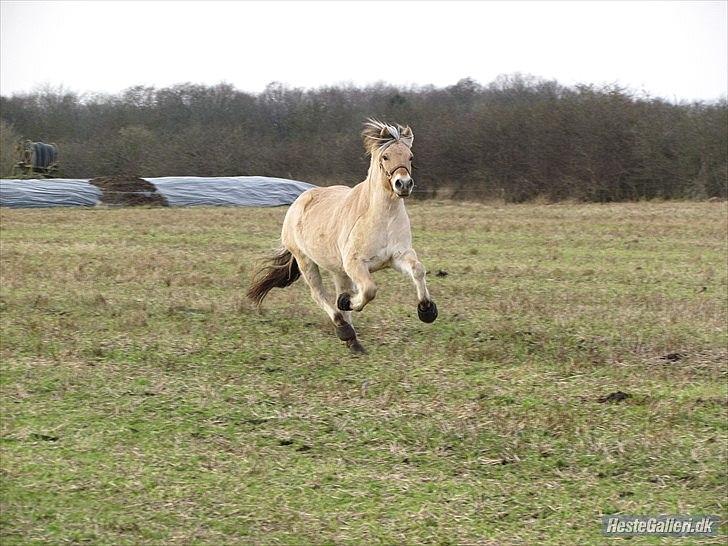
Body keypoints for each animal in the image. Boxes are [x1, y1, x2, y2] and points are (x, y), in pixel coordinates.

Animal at [247, 118, 436, 352]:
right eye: (385, 156)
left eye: (410, 157)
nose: (404, 184)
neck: (382, 217)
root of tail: (300, 200)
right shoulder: (355, 264)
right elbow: (369, 290)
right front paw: (349, 302)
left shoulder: (398, 256)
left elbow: (418, 270)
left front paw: (427, 310)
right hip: (306, 261)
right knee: (320, 295)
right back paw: (344, 329)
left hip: (338, 270)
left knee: (339, 293)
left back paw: (353, 341)